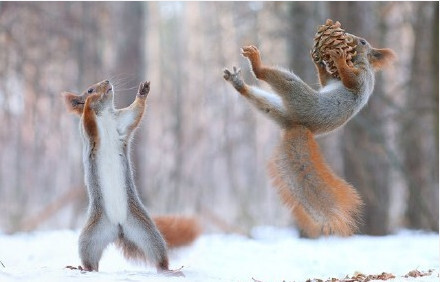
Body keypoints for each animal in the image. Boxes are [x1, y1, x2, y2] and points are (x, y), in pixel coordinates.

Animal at [62, 79, 200, 274]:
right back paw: (82, 268)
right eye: (89, 89)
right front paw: (89, 102)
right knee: (90, 259)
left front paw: (143, 91)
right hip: (90, 236)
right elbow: (89, 122)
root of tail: (118, 227)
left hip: (146, 231)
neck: (104, 114)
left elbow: (135, 112)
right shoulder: (88, 132)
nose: (107, 82)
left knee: (158, 254)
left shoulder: (122, 122)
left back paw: (169, 270)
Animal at [223, 32, 396, 237]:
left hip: (298, 95)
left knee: (267, 76)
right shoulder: (333, 80)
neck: (359, 62)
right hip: (275, 109)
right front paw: (319, 63)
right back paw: (238, 83)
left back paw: (256, 63)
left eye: (362, 42)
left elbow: (350, 80)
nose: (350, 37)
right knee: (261, 101)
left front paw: (338, 59)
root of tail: (297, 125)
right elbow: (325, 81)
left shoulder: (361, 78)